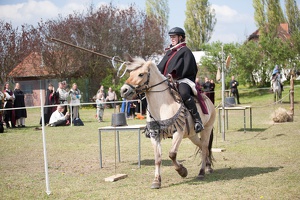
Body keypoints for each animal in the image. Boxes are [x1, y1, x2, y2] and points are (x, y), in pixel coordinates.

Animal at [119, 54, 216, 189]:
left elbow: (172, 154)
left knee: (205, 147)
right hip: (192, 135)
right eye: (130, 73)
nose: (124, 90)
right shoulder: (155, 135)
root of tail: (209, 101)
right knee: (202, 147)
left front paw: (182, 171)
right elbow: (158, 158)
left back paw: (202, 172)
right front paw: (156, 181)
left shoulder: (178, 133)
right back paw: (207, 167)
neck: (162, 106)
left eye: (140, 74)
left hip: (206, 129)